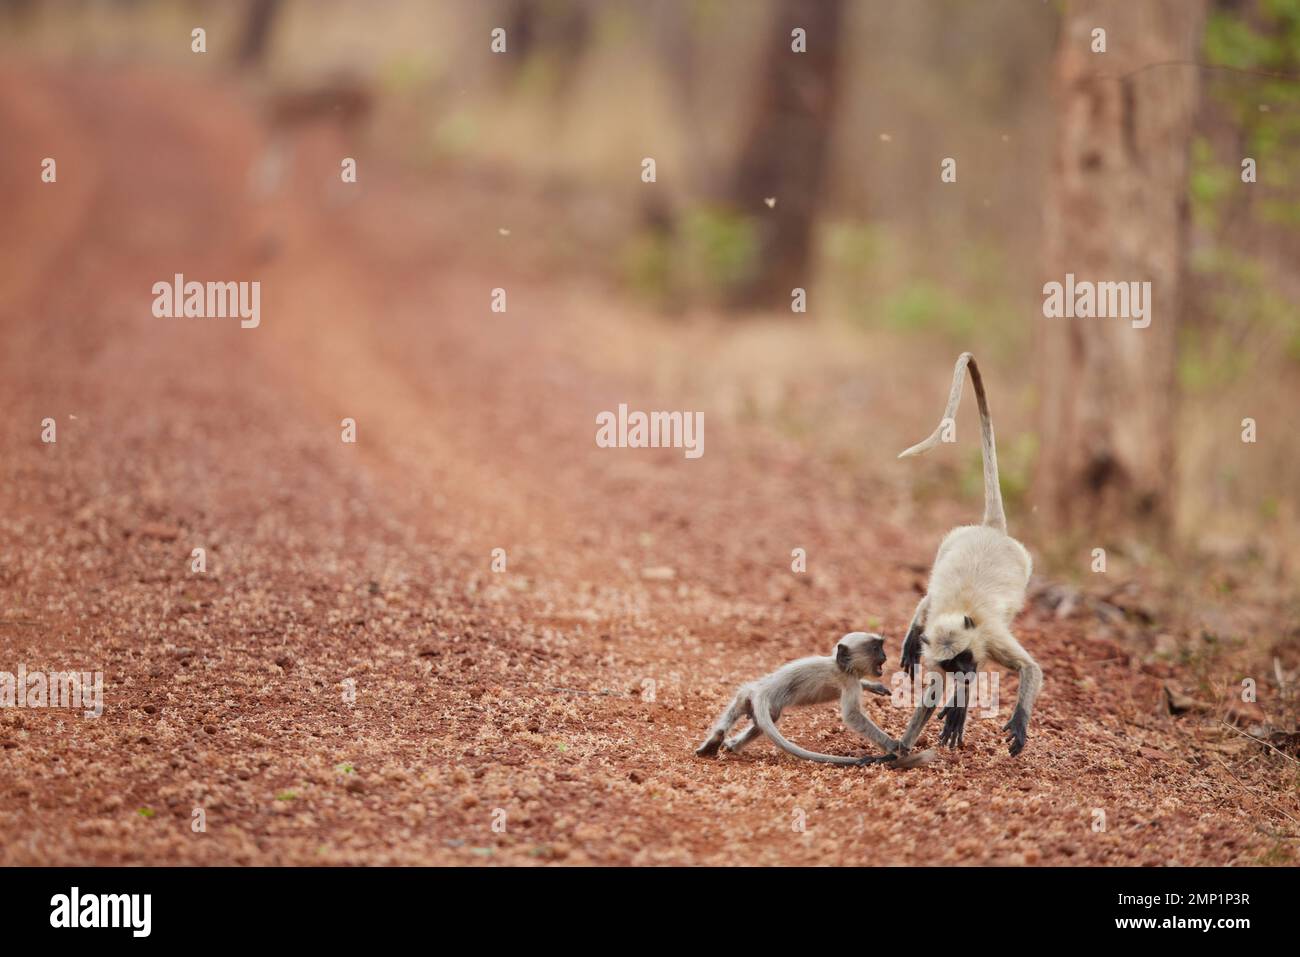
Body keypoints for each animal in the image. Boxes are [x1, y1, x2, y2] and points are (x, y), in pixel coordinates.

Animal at [695, 632, 934, 767]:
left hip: (753, 700)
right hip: (759, 698)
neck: (840, 665)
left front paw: (874, 687)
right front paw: (893, 745)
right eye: (876, 648)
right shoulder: (849, 682)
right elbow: (852, 716)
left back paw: (724, 743)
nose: (884, 657)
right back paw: (718, 742)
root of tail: (761, 692)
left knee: (755, 718)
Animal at [894, 353, 1042, 757]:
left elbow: (1030, 668)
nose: (963, 671)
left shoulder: (988, 637)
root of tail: (992, 529)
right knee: (928, 595)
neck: (960, 611)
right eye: (953, 663)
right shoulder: (939, 651)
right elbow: (931, 695)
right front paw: (899, 749)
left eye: (962, 658)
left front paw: (1016, 722)